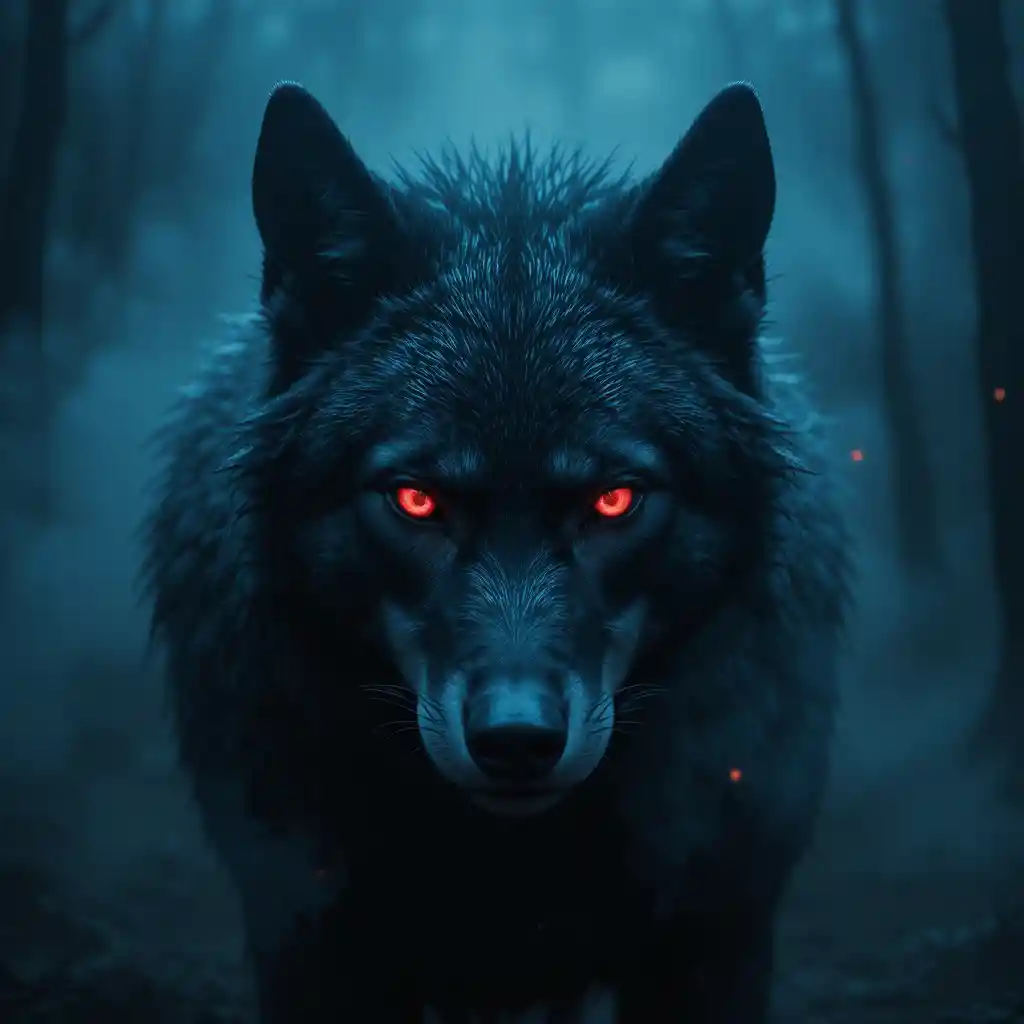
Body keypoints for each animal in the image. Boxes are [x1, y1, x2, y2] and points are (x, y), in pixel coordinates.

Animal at [143, 81, 849, 1022]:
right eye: (416, 499)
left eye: (613, 499)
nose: (516, 739)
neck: (509, 865)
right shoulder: (306, 936)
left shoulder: (715, 937)